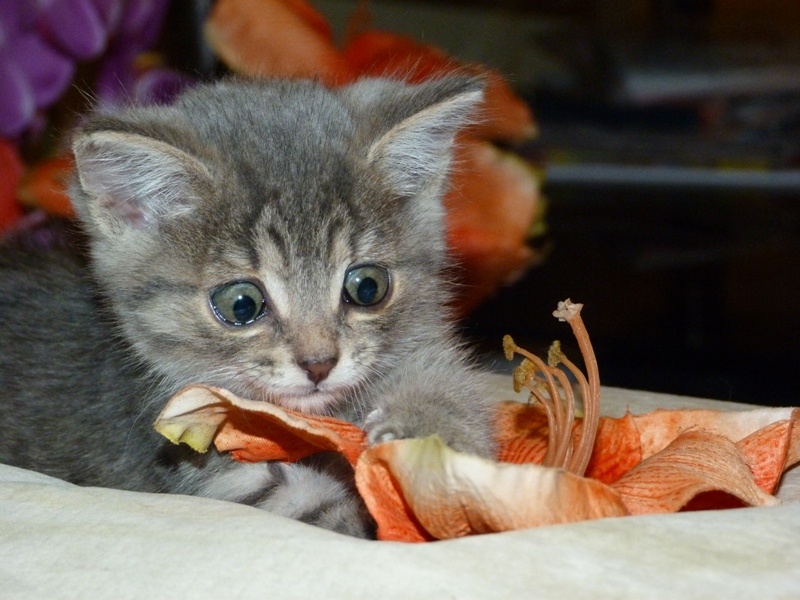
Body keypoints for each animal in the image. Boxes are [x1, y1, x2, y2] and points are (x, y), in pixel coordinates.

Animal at [0, 75, 498, 538]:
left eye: (368, 287)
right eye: (241, 305)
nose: (319, 364)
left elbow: (445, 379)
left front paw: (434, 439)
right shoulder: (222, 481)